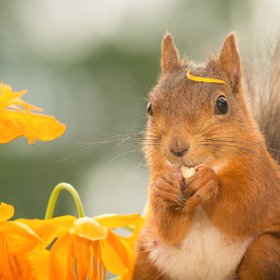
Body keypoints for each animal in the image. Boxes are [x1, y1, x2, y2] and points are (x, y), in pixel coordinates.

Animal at [132, 33, 280, 280]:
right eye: (150, 107)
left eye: (222, 104)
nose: (177, 147)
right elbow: (167, 226)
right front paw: (163, 187)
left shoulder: (263, 177)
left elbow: (245, 207)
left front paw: (209, 183)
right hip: (146, 263)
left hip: (264, 252)